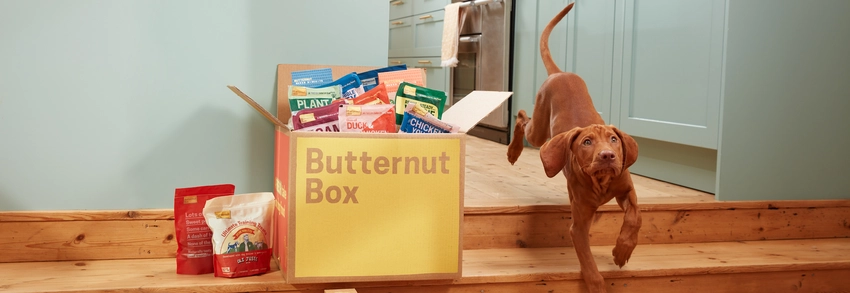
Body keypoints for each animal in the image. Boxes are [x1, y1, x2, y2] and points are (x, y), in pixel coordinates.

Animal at [506, 2, 640, 292]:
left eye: (614, 140)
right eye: (587, 142)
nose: (607, 156)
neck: (601, 182)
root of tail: (559, 73)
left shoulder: (626, 188)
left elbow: (635, 217)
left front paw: (622, 250)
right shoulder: (578, 226)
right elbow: (588, 260)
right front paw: (597, 282)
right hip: (539, 128)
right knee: (522, 118)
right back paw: (513, 151)